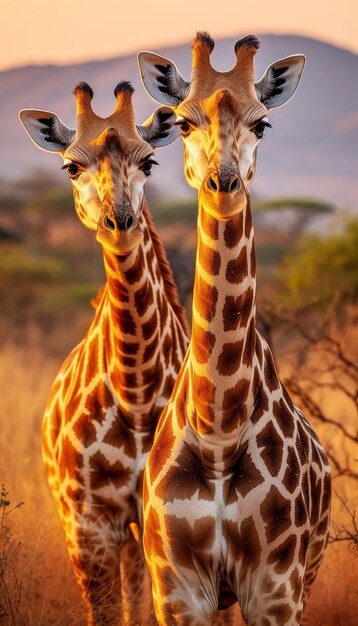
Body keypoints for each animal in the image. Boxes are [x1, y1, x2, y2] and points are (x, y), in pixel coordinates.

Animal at [18, 80, 190, 620]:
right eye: (71, 167)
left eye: (149, 162)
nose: (121, 223)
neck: (135, 384)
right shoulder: (89, 524)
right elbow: (108, 614)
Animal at [136, 34, 330, 624]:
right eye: (182, 123)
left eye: (261, 123)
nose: (224, 182)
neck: (218, 430)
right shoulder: (177, 588)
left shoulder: (276, 588)